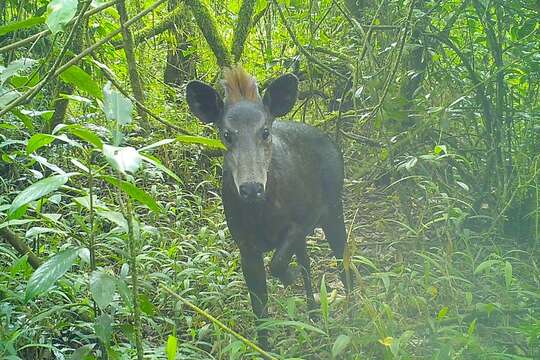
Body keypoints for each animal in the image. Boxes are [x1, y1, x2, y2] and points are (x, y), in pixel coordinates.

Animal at [186, 65, 348, 348]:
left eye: (265, 132)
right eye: (226, 134)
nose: (251, 188)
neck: (262, 214)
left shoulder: (303, 220)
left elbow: (279, 263)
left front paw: (288, 277)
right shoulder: (246, 247)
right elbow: (259, 309)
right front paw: (264, 348)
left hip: (334, 207)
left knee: (343, 257)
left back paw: (356, 309)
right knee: (307, 262)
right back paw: (314, 313)